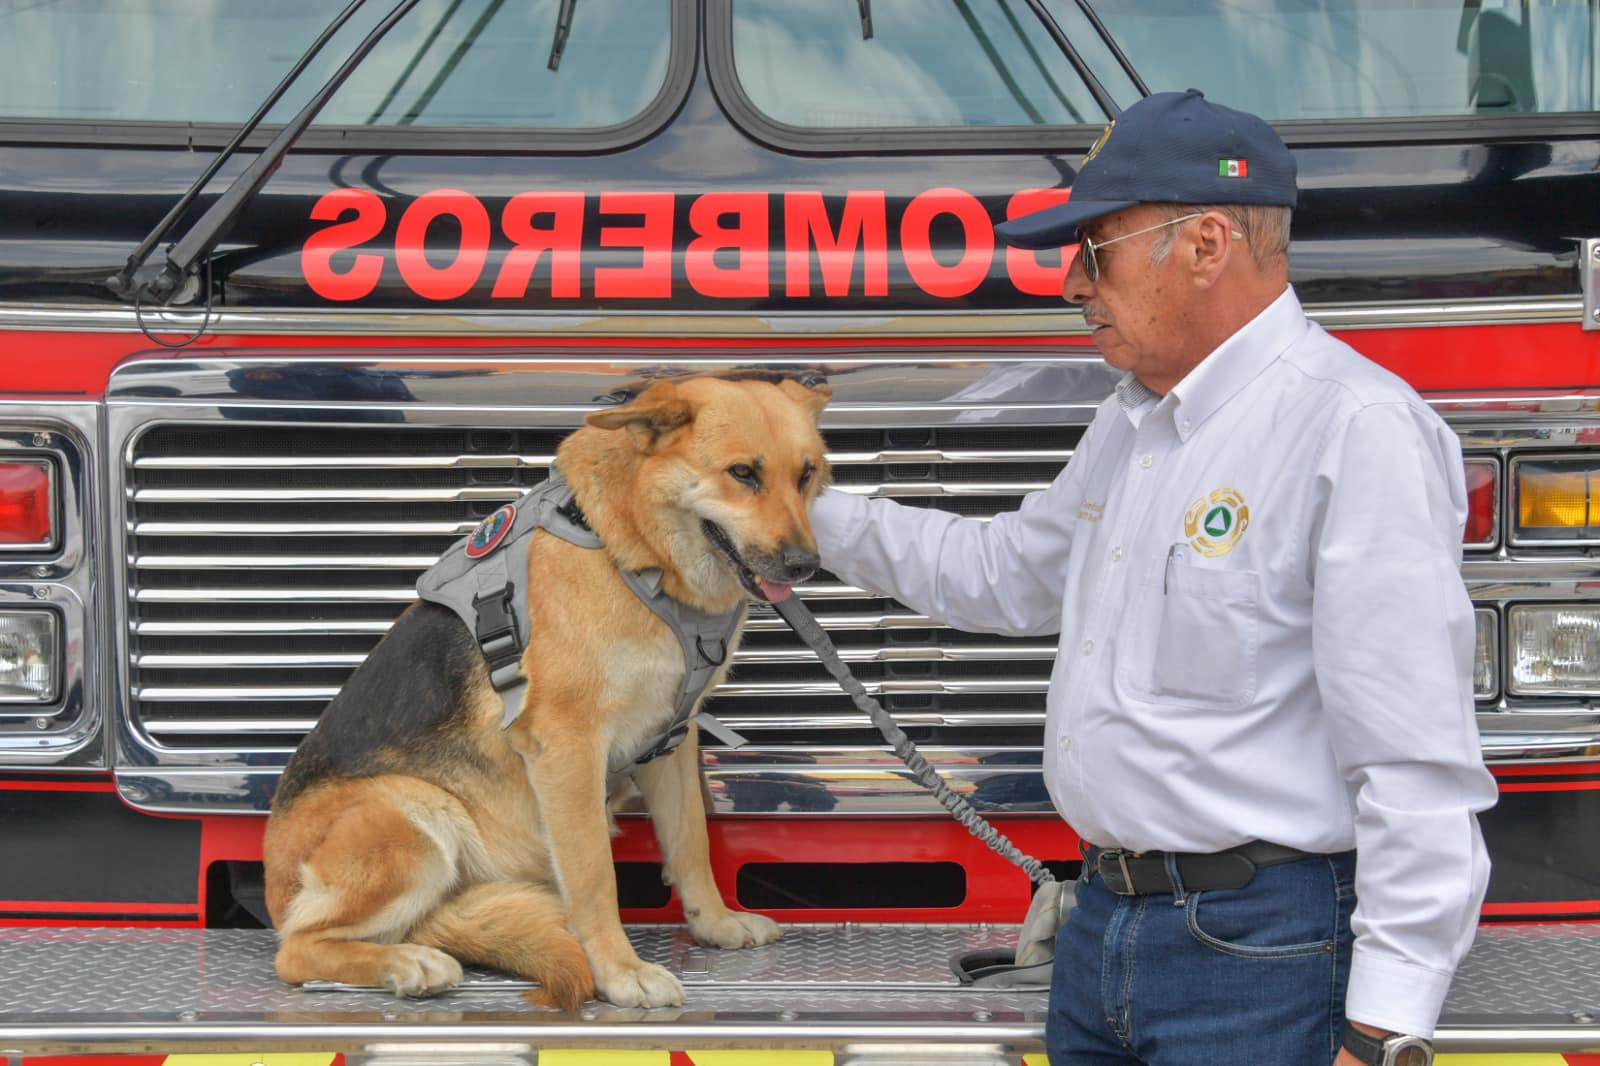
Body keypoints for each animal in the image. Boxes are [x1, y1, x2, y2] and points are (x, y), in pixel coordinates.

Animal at [259, 372, 838, 1005]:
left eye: (806, 474)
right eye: (742, 473)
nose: (806, 565)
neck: (632, 556)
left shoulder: (672, 738)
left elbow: (691, 842)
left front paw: (715, 924)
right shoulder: (568, 747)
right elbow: (593, 875)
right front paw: (620, 970)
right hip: (411, 813)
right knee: (296, 949)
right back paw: (406, 964)